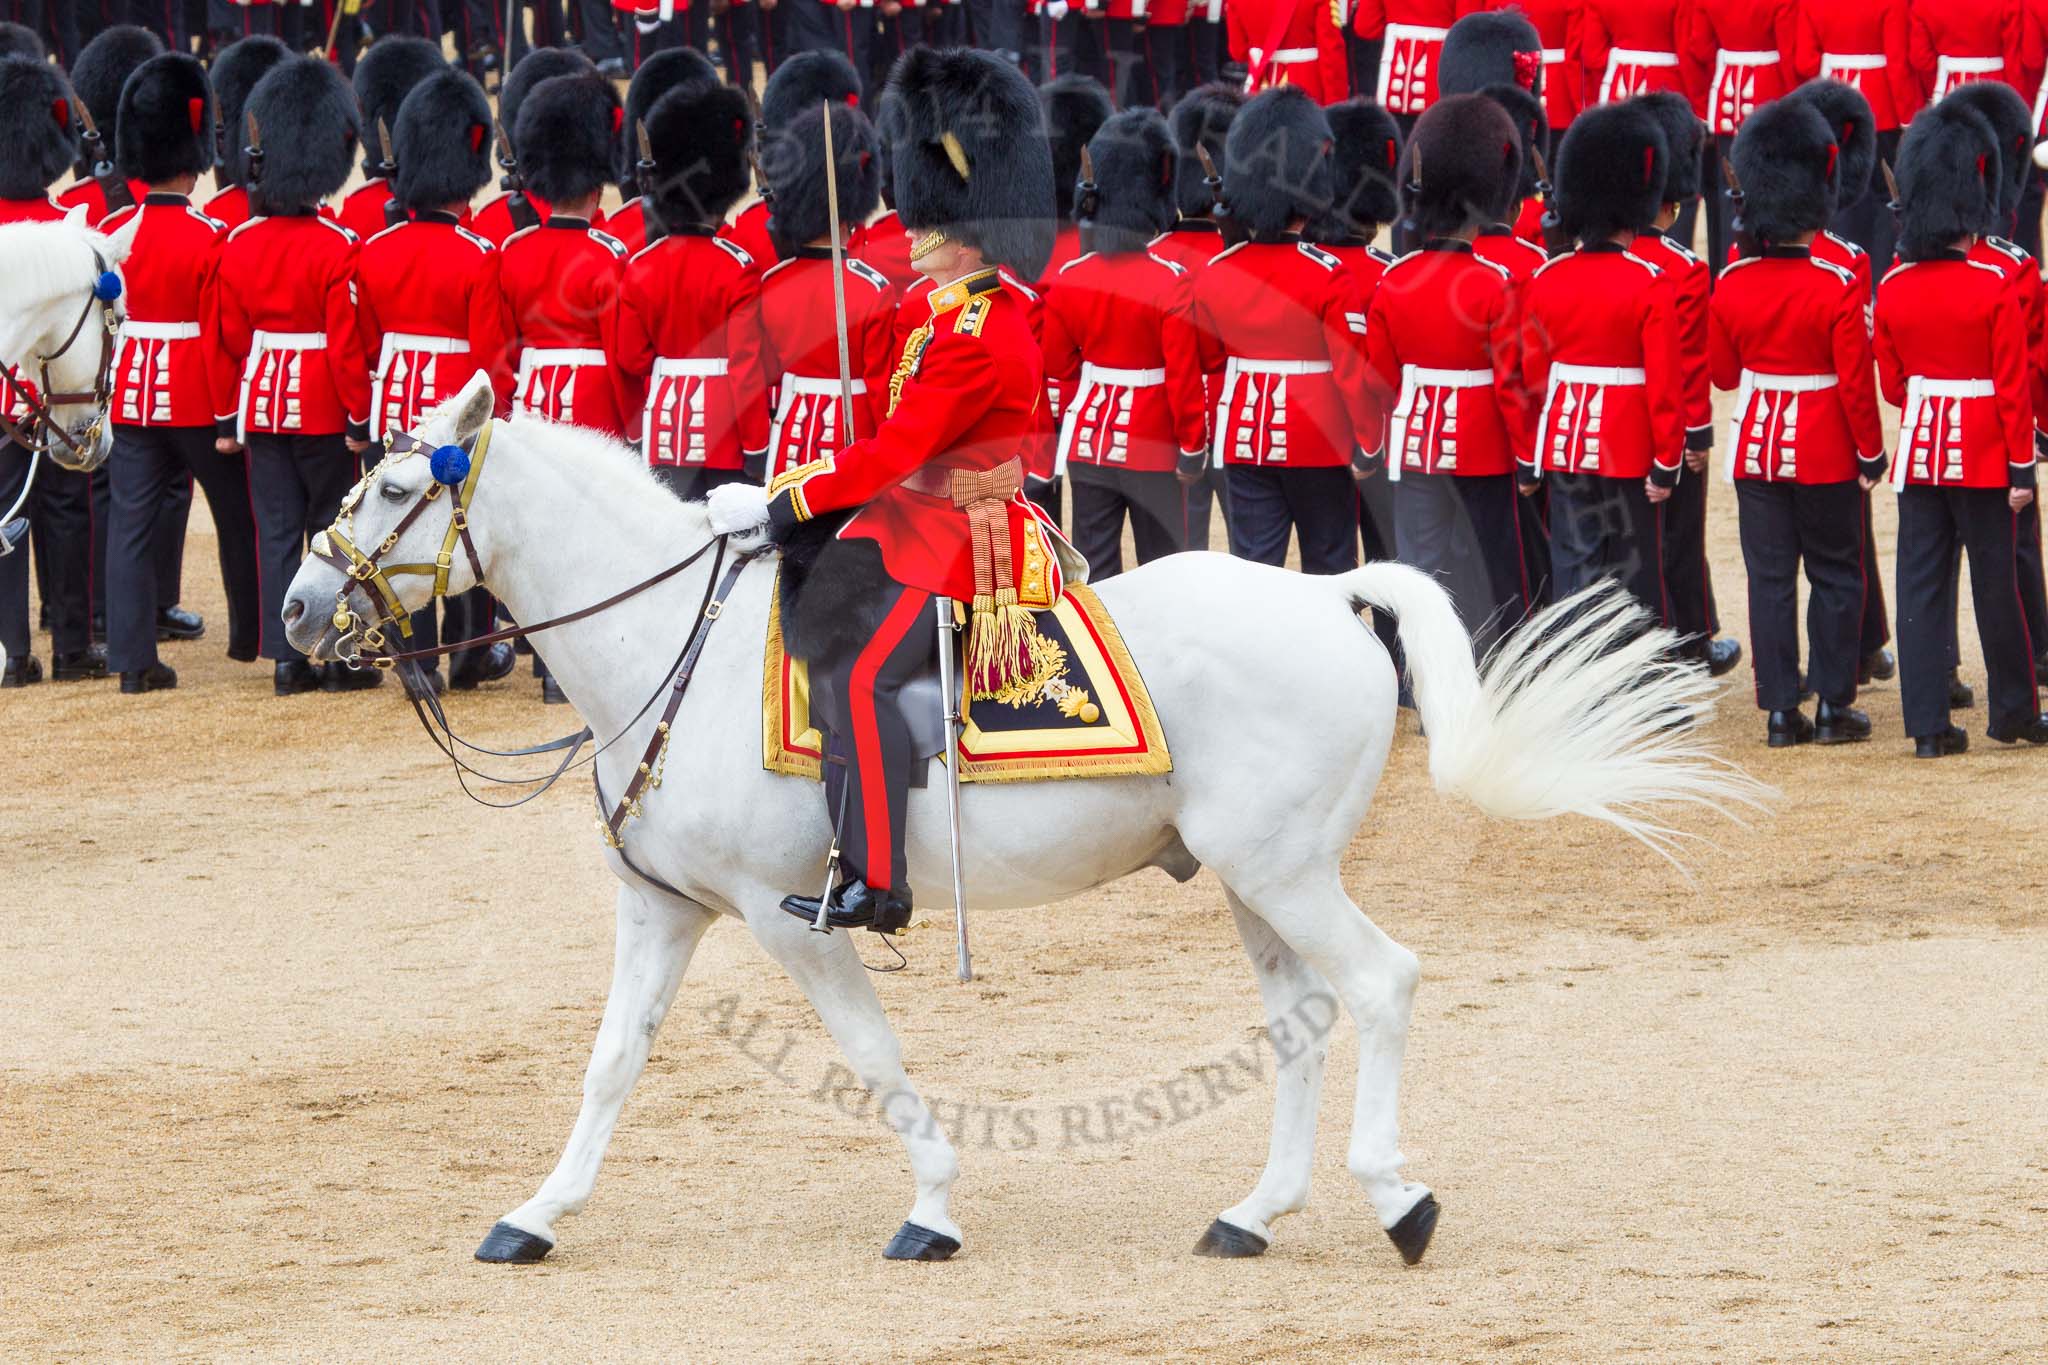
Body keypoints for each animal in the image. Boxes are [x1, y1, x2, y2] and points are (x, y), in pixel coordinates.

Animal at [281, 373, 1766, 1268]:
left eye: (399, 489)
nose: (299, 610)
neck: (664, 645)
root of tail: (1324, 588)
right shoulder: (663, 908)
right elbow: (609, 1064)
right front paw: (535, 1215)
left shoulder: (791, 918)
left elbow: (872, 1057)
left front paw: (933, 1209)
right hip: (1249, 876)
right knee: (1303, 1018)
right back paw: (1253, 1212)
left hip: (1283, 871)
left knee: (1383, 983)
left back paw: (1395, 1198)